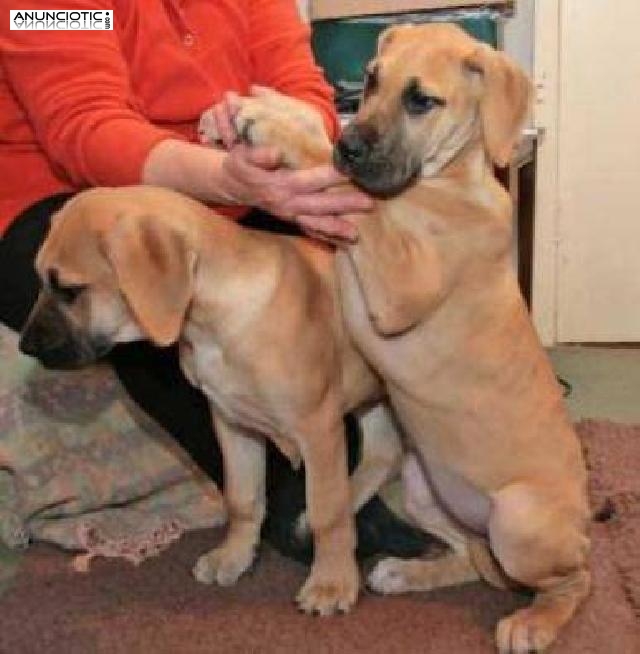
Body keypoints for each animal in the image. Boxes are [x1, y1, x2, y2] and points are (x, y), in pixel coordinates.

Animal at [225, 24, 592, 654]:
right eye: (371, 80)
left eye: (422, 101)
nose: (351, 147)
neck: (445, 183)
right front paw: (281, 111)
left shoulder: (398, 286)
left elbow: (354, 195)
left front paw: (280, 127)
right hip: (428, 491)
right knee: (474, 558)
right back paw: (407, 571)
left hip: (519, 518)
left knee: (574, 579)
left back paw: (533, 622)